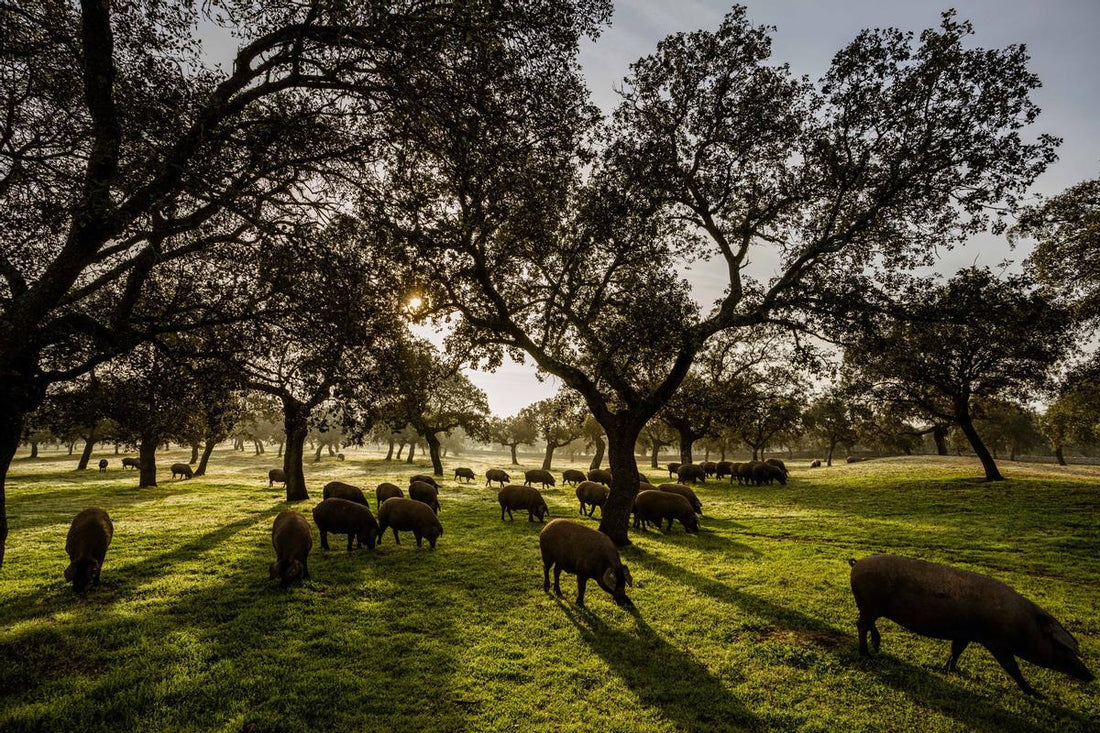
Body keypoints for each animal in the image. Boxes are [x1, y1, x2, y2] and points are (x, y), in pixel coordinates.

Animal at [849, 550, 1091, 695]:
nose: (1091, 675)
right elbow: (1012, 668)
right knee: (861, 625)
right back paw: (866, 653)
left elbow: (956, 651)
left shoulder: (964, 634)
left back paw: (876, 646)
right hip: (870, 604)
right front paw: (1035, 693)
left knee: (866, 623)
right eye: (1061, 646)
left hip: (871, 607)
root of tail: (856, 564)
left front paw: (949, 669)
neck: (1024, 626)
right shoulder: (998, 643)